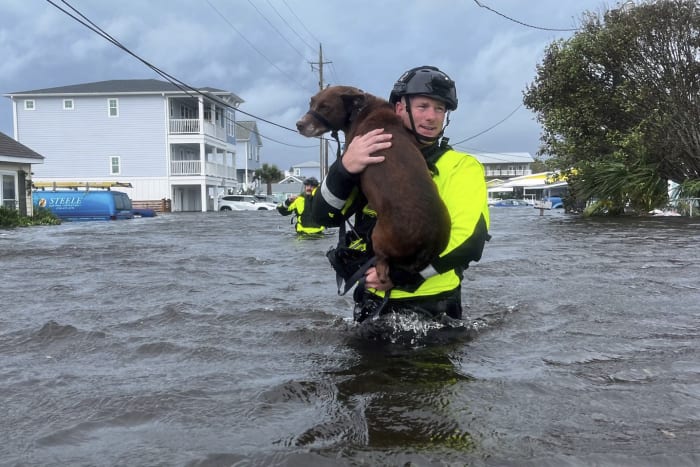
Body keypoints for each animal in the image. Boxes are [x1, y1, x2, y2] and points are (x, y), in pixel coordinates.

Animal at [294, 86, 448, 288]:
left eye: (325, 107)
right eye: (311, 102)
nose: (299, 124)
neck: (362, 109)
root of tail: (425, 244)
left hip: (378, 237)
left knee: (382, 267)